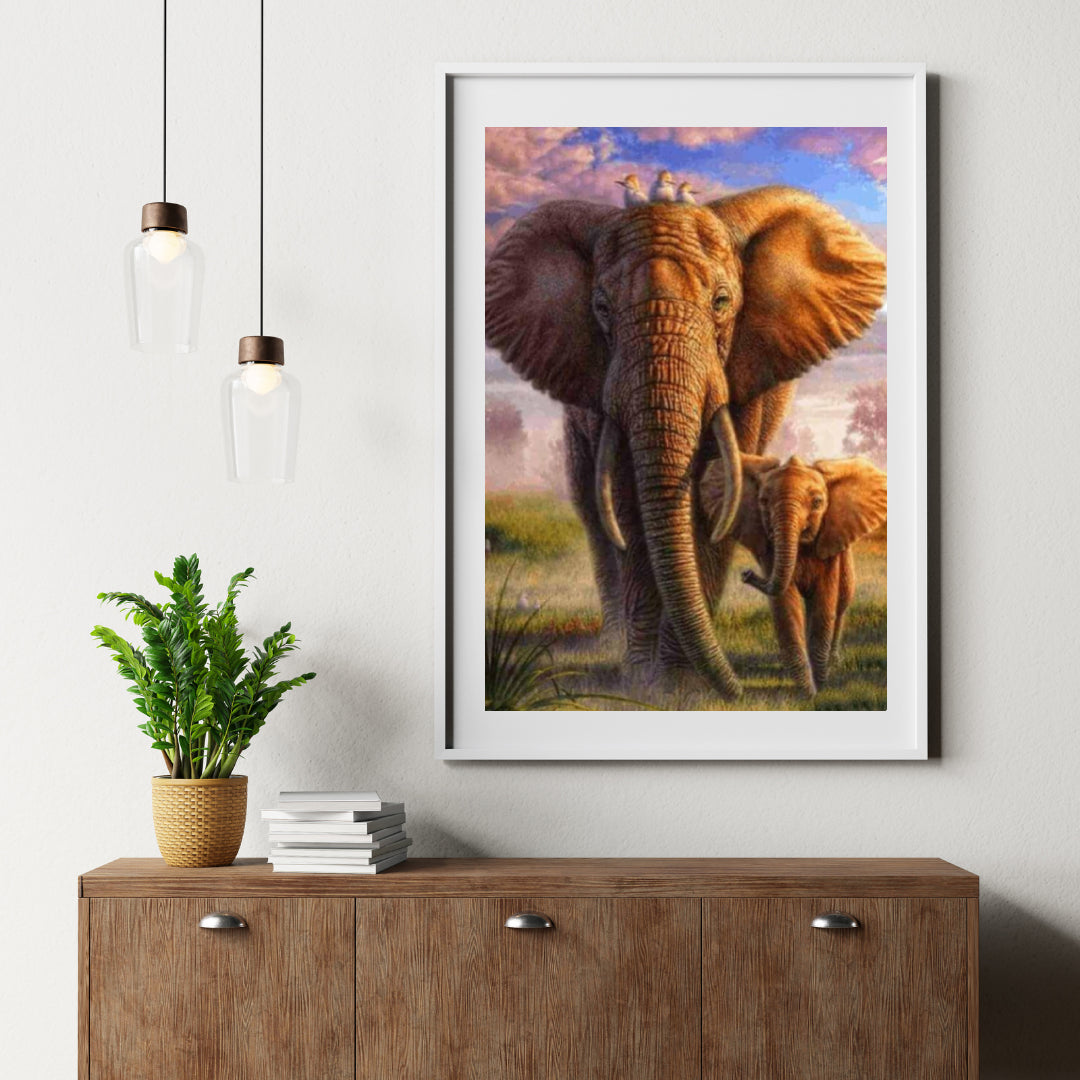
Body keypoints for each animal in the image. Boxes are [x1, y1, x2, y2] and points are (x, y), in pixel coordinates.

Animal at [701, 454, 888, 696]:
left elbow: (824, 602)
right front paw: (808, 689)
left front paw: (819, 686)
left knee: (842, 602)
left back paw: (834, 661)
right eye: (763, 501)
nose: (745, 574)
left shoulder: (830, 542)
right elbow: (786, 605)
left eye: (817, 503)